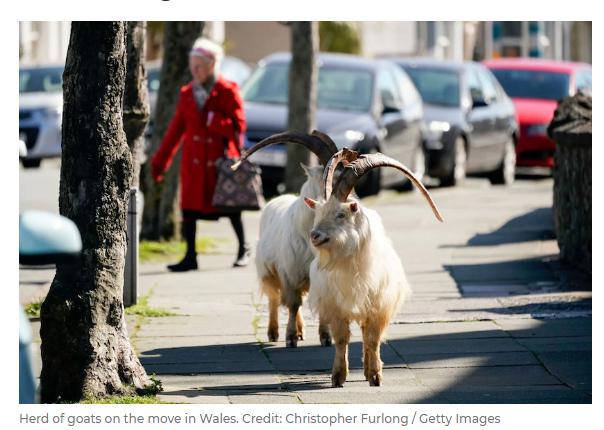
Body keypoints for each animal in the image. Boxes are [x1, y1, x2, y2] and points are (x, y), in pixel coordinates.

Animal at [231, 129, 338, 348]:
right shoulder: (289, 271)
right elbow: (293, 304)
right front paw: (290, 338)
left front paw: (325, 337)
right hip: (268, 271)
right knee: (275, 298)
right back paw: (273, 333)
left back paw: (301, 330)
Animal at [304, 148, 442, 386]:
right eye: (318, 214)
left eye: (341, 214)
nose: (315, 235)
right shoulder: (336, 307)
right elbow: (342, 339)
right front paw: (338, 376)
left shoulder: (379, 305)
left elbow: (373, 338)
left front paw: (376, 375)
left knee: (367, 335)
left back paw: (369, 370)